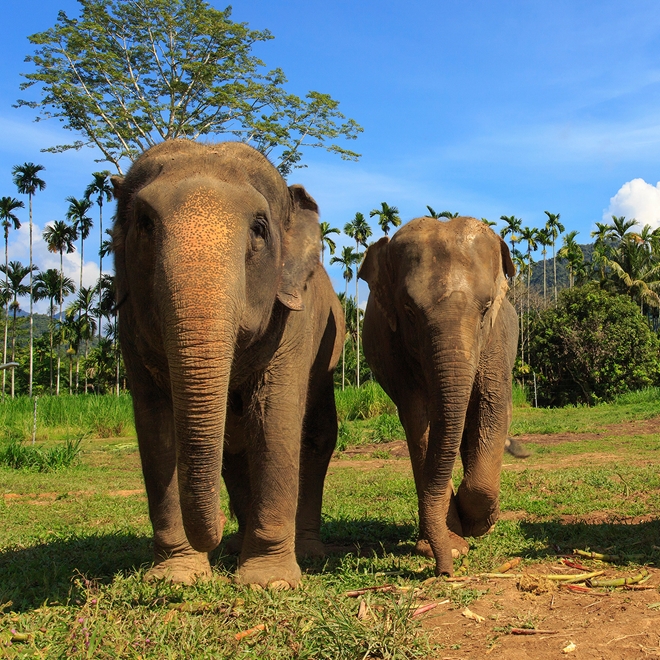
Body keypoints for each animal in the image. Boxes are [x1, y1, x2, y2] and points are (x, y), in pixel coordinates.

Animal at [112, 139, 344, 588]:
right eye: (144, 224)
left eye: (259, 229)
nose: (215, 530)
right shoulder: (128, 325)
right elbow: (154, 425)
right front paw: (176, 577)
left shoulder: (293, 320)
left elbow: (274, 419)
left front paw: (269, 581)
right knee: (234, 446)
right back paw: (237, 545)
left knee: (315, 435)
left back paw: (305, 550)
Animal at [358, 216, 518, 576]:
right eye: (408, 310)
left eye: (486, 307)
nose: (446, 572)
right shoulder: (395, 351)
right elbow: (418, 421)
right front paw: (455, 545)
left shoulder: (496, 341)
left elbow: (492, 406)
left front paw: (479, 524)